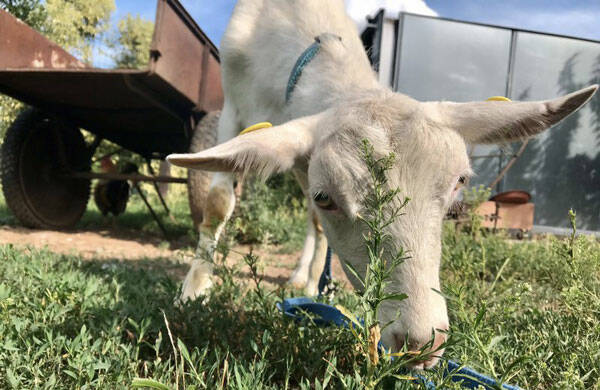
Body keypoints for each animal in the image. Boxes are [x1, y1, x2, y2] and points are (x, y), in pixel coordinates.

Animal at [168, 0, 596, 368]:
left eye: (459, 182)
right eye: (327, 196)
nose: (422, 343)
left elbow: (312, 221)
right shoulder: (235, 107)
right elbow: (218, 203)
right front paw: (194, 291)